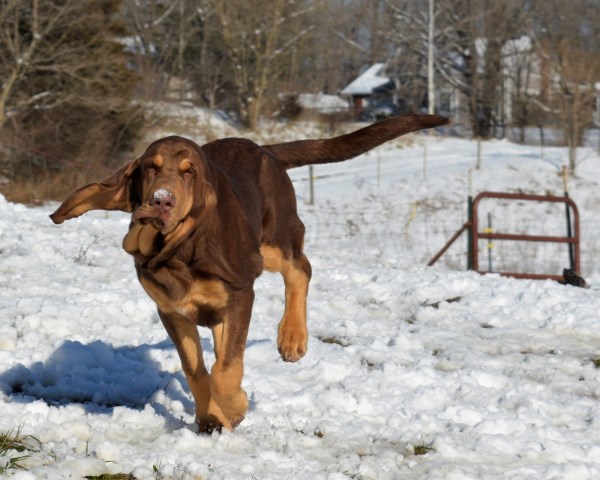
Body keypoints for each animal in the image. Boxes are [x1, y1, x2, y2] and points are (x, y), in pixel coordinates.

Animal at [50, 114, 446, 434]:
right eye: (151, 168)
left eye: (189, 171)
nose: (162, 200)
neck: (178, 250)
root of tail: (264, 149)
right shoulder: (172, 311)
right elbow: (198, 371)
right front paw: (212, 419)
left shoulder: (240, 293)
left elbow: (225, 372)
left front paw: (236, 406)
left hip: (272, 243)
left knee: (300, 269)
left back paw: (292, 337)